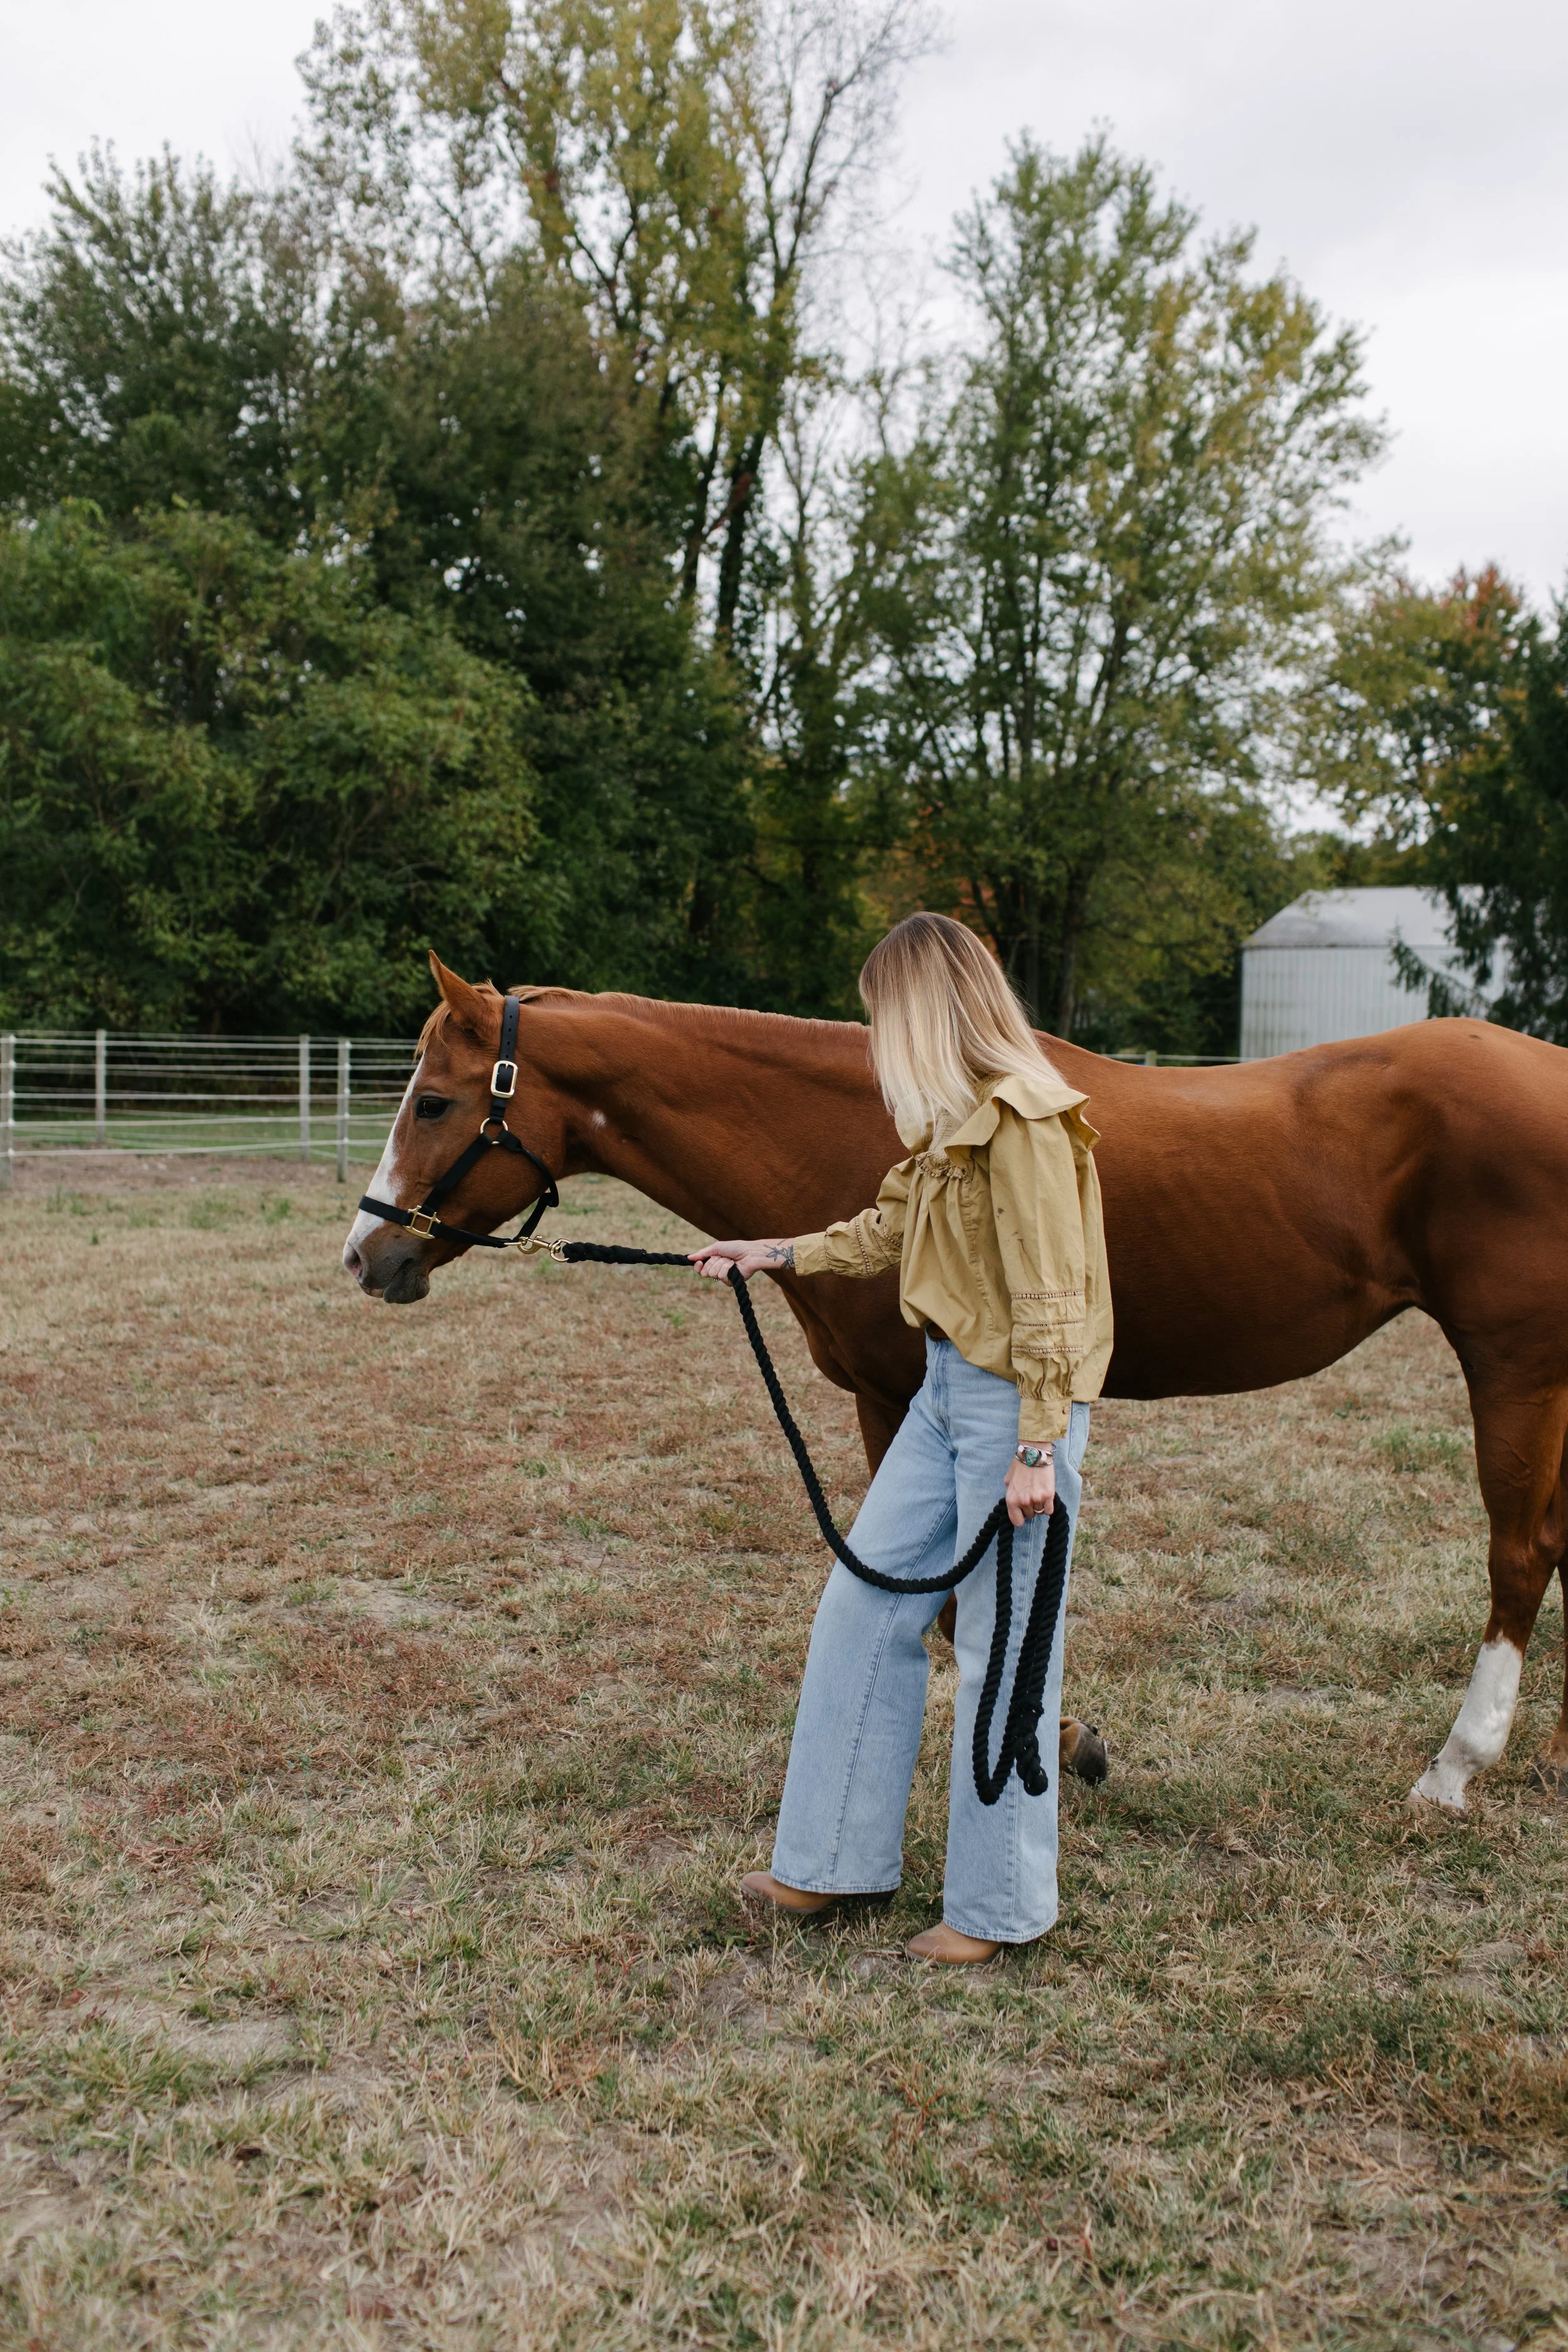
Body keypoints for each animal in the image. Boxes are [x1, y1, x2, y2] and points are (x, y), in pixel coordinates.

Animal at [343, 954, 1568, 1813]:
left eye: (436, 1102)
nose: (367, 1256)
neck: (877, 1124)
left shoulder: (904, 1398)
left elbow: (939, 1600)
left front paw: (1057, 1737)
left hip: (1517, 1362)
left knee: (1520, 1552)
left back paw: (1455, 1767)